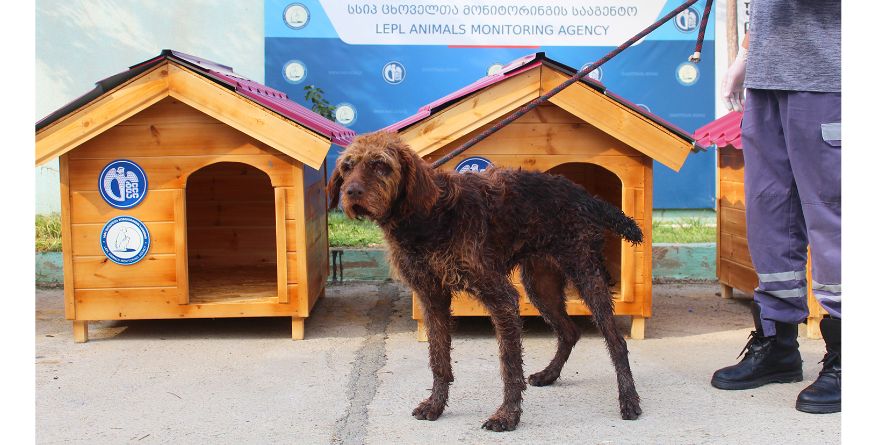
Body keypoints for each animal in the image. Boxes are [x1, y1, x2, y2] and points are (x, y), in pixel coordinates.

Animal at [326, 131, 644, 430]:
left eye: (381, 165)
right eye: (347, 167)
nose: (351, 192)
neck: (425, 215)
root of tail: (584, 195)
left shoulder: (501, 297)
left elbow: (509, 366)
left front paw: (508, 415)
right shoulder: (432, 297)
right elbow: (439, 360)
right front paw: (436, 405)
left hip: (586, 275)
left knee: (617, 342)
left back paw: (629, 400)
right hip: (540, 285)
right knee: (569, 331)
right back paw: (550, 374)